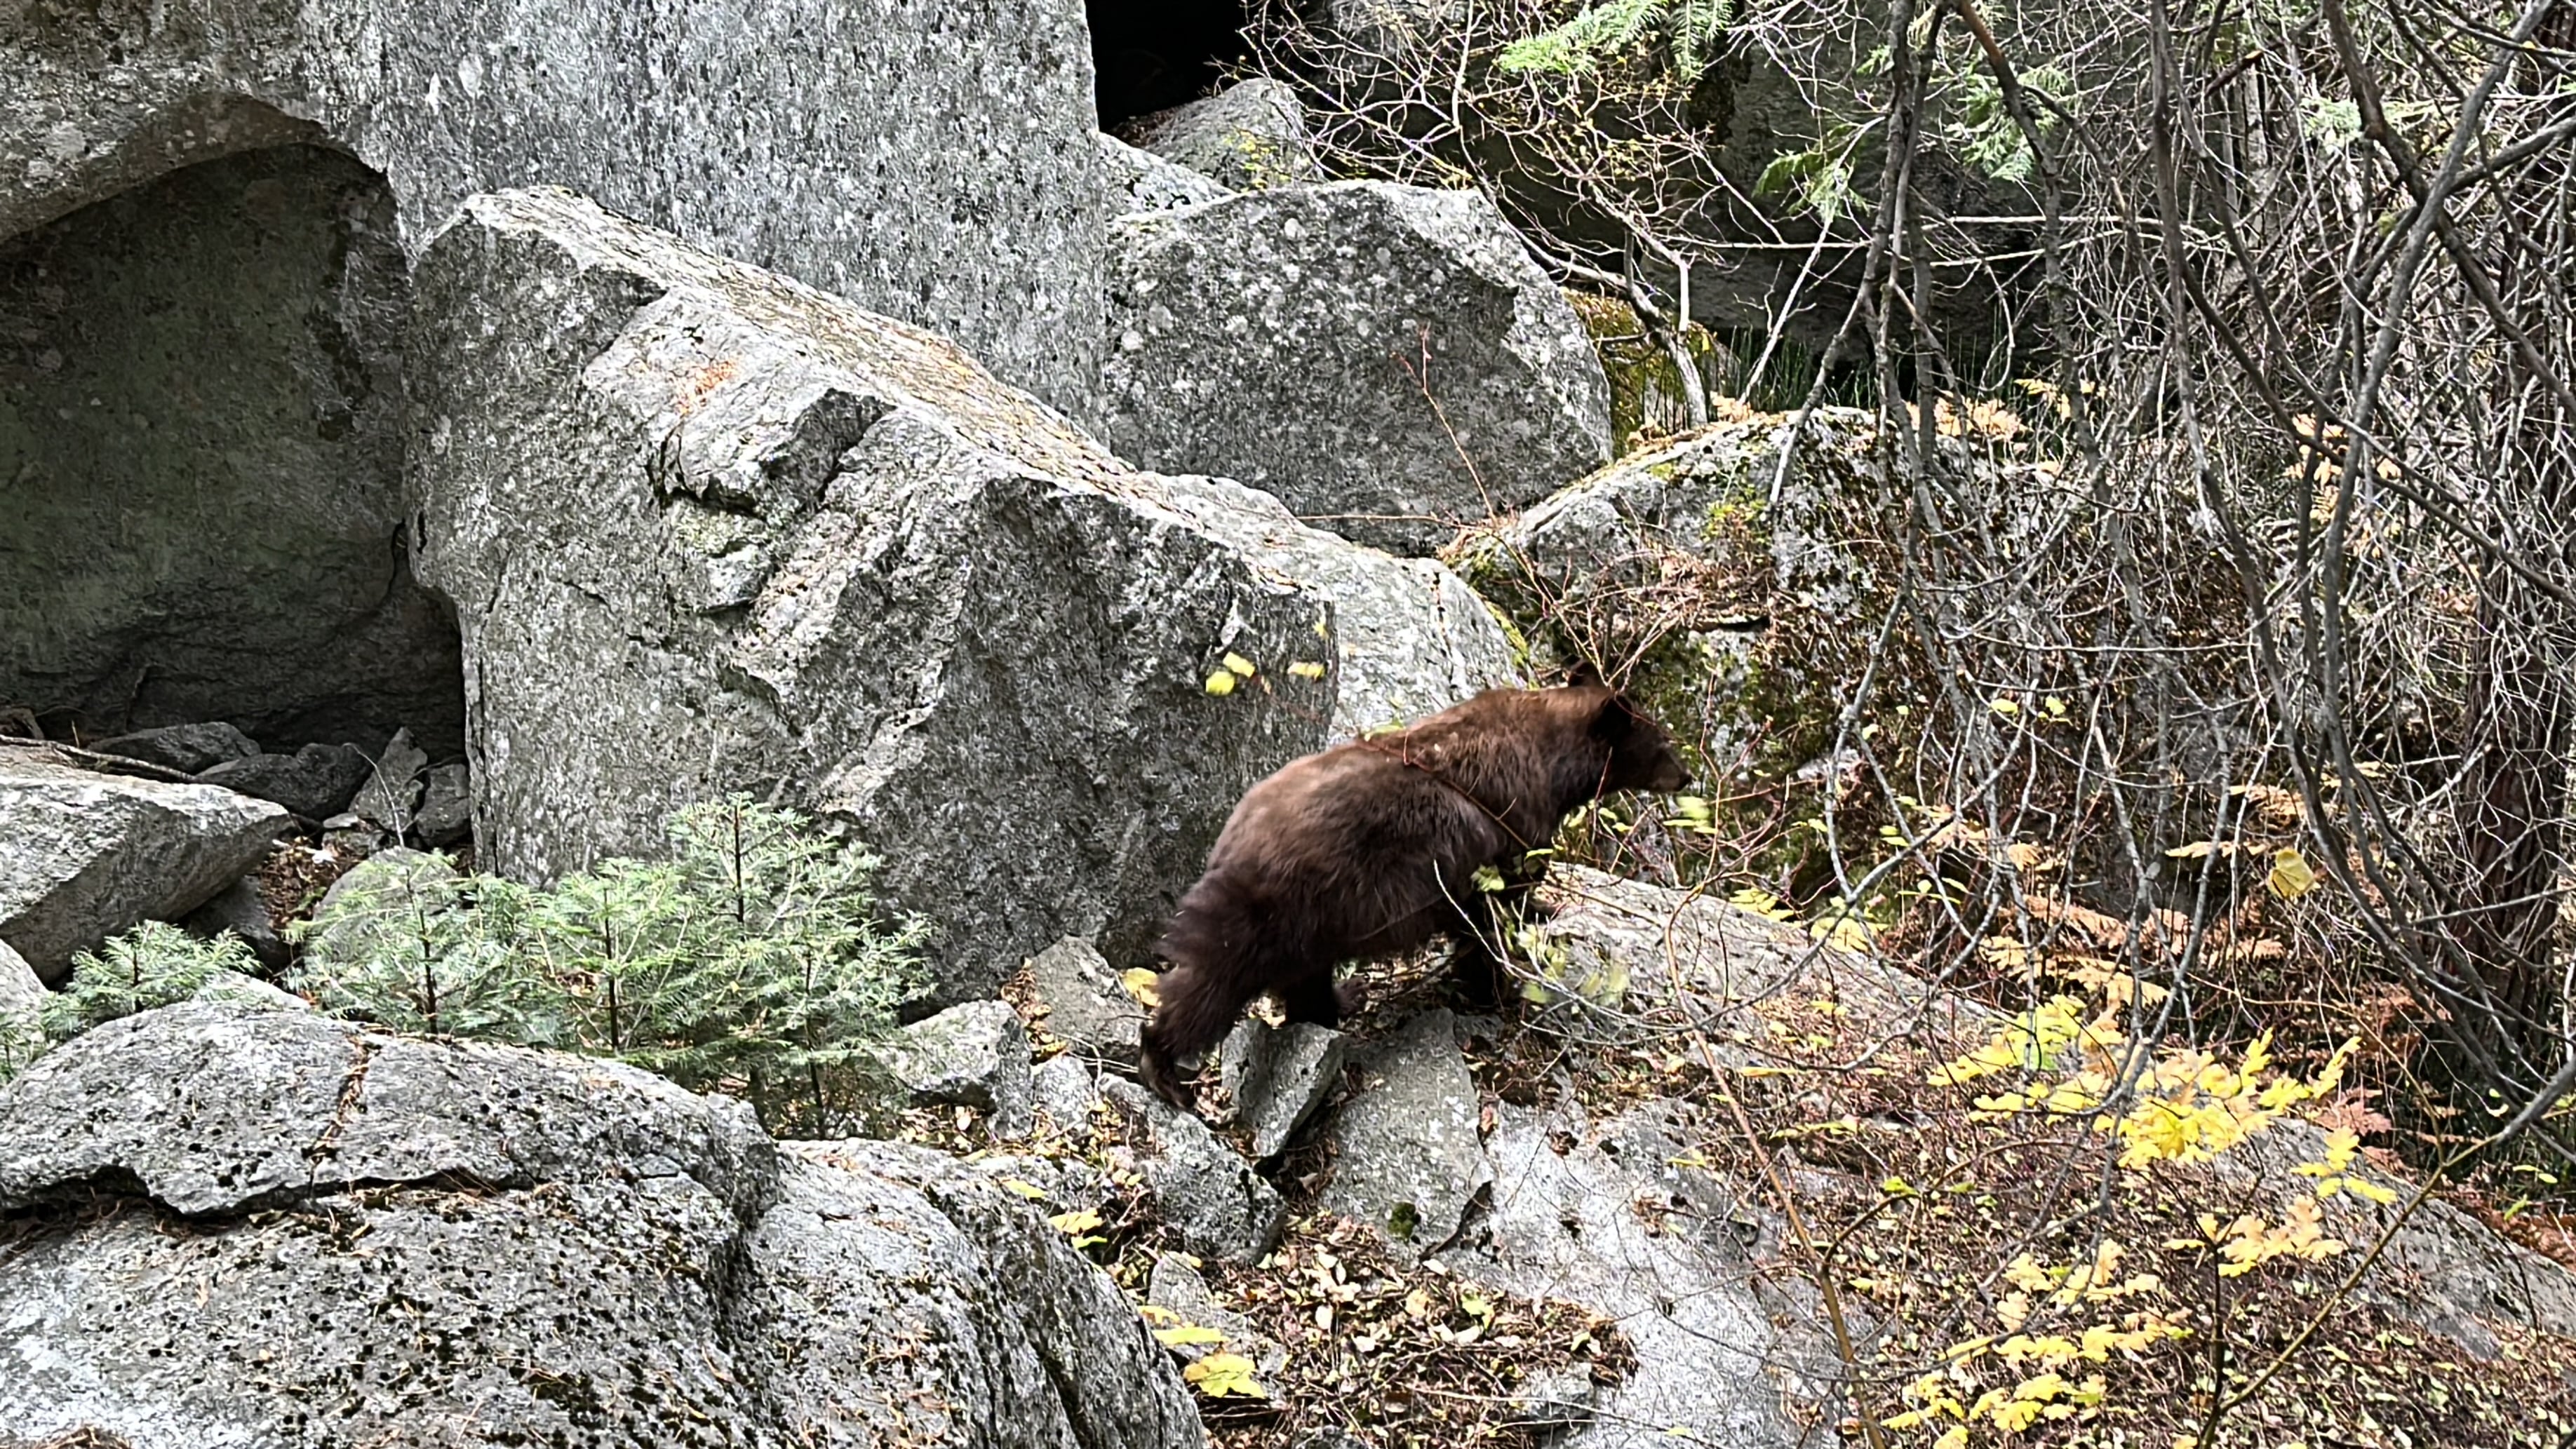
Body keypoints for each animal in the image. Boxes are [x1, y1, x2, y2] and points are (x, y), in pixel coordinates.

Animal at [1143, 674, 1689, 1106]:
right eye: (1664, 740)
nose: (1685, 775)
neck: (1552, 761)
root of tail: (1230, 838)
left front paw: (1541, 912)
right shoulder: (1504, 834)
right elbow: (1492, 917)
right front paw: (1499, 989)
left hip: (1309, 925)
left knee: (1304, 982)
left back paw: (1342, 1001)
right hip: (1270, 912)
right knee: (1210, 985)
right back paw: (1162, 1065)